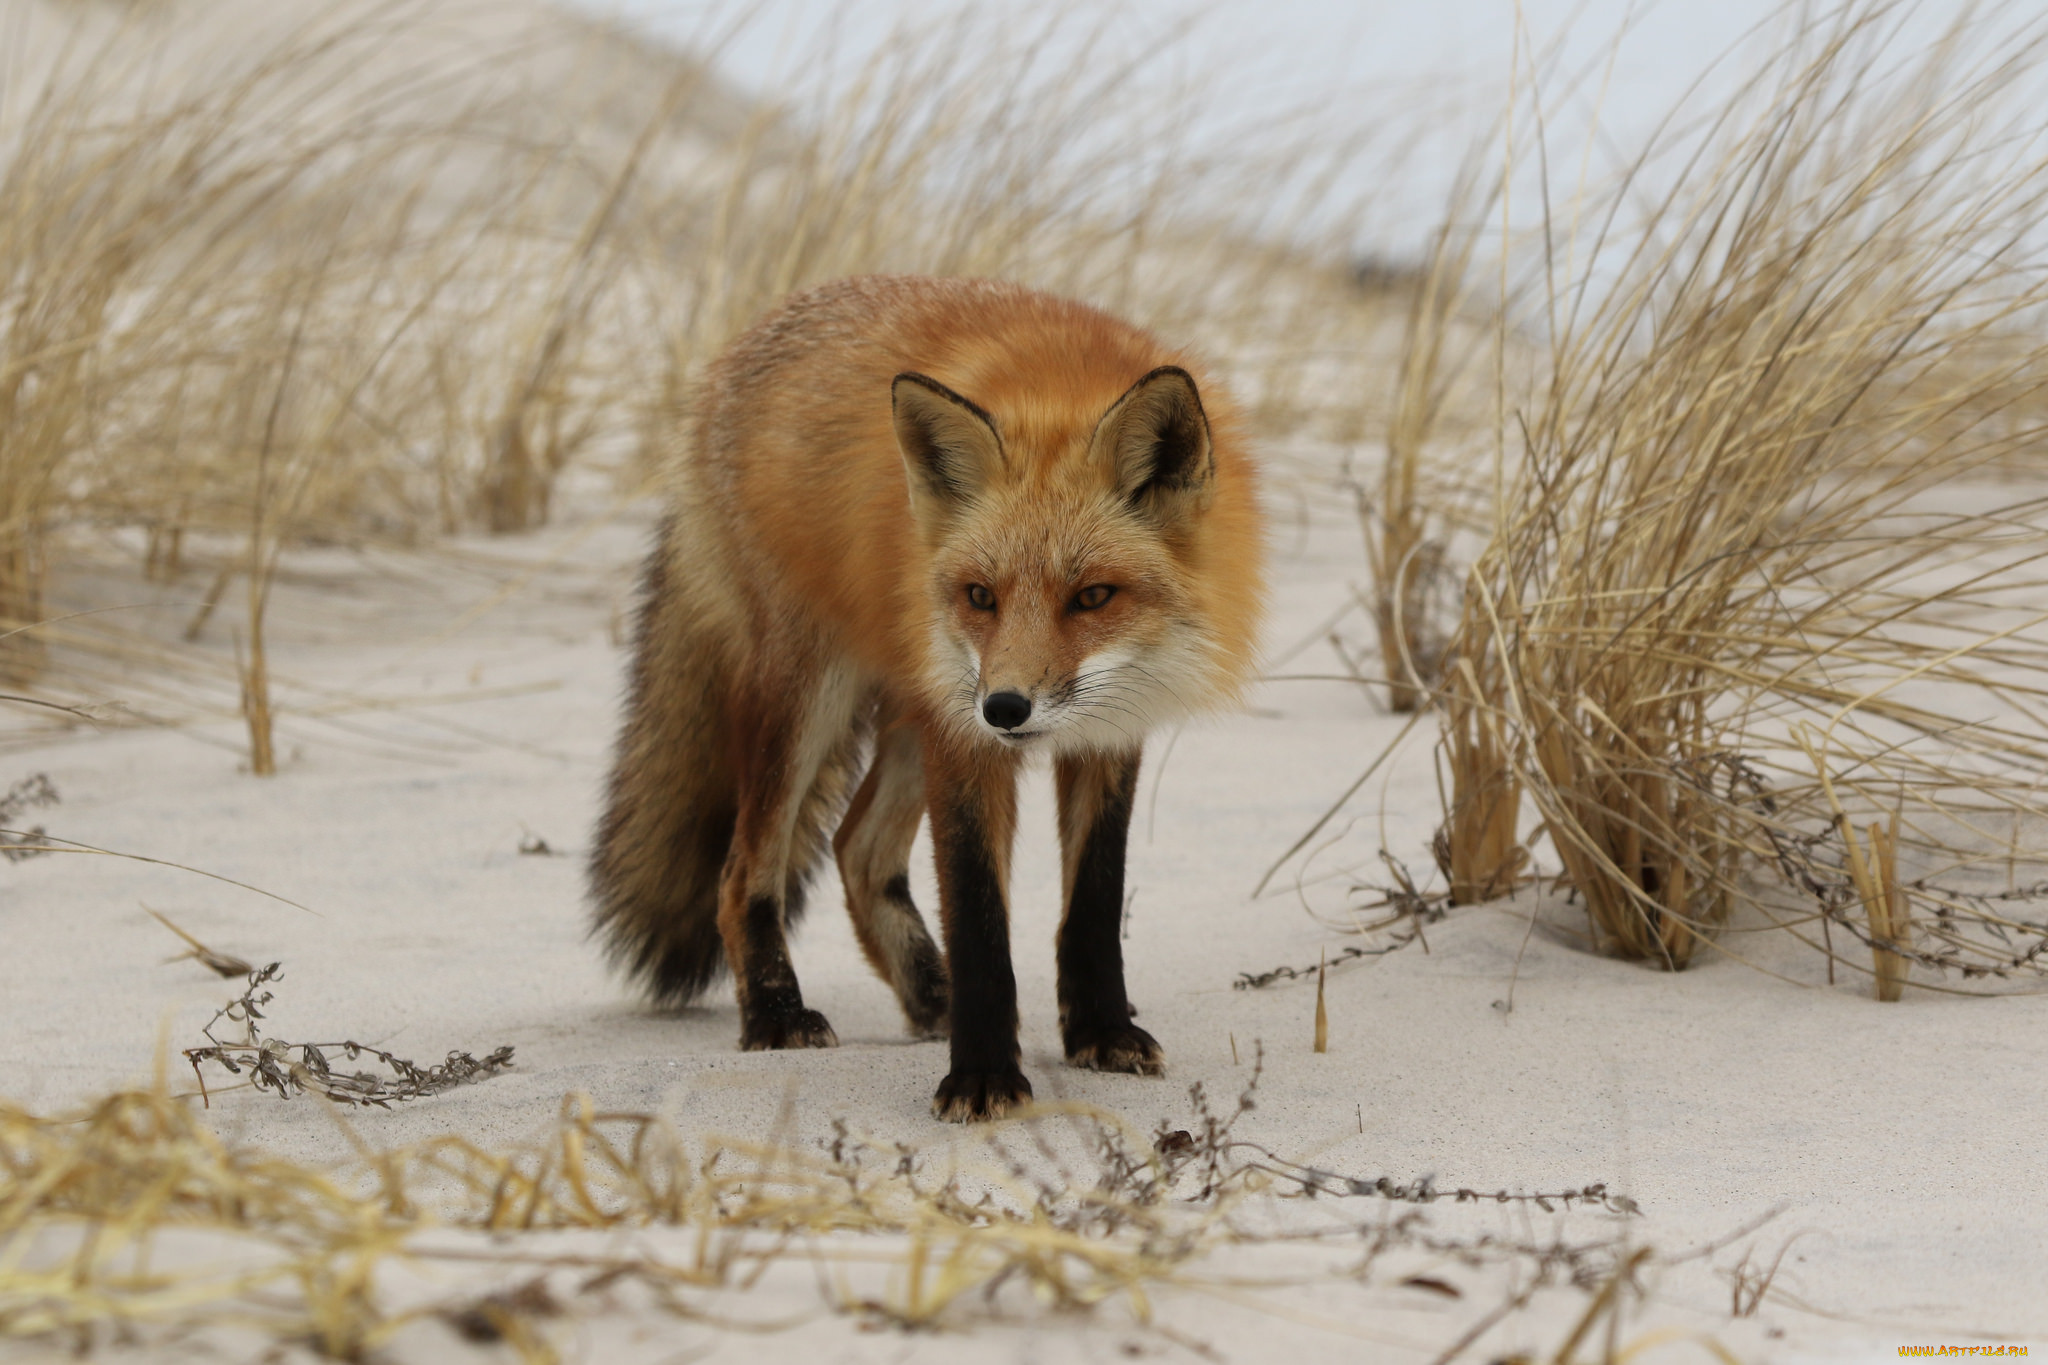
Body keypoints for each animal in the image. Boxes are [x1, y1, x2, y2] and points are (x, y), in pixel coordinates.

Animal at [589, 274, 1261, 1121]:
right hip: (813, 695)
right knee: (745, 871)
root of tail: (742, 347)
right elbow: (978, 917)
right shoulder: (962, 736)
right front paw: (983, 1074)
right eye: (980, 595)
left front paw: (1100, 1031)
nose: (1007, 708)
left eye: (1092, 597)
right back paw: (776, 1012)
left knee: (857, 848)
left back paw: (929, 995)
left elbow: (1093, 905)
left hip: (914, 705)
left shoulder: (1107, 731)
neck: (1057, 390)